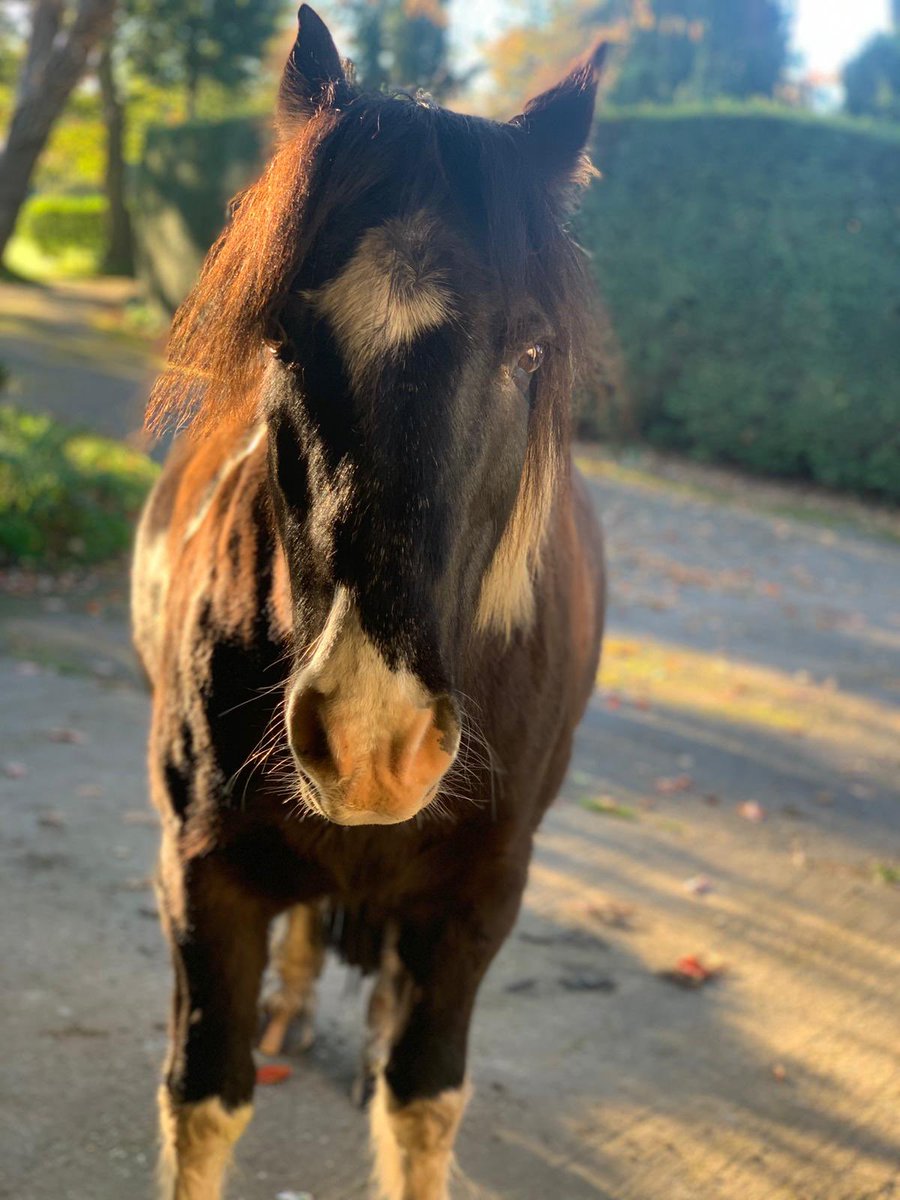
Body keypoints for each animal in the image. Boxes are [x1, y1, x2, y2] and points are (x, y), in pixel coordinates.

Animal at [132, 7, 606, 1197]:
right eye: (284, 341)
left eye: (530, 348)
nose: (370, 739)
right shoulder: (202, 876)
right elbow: (203, 1100)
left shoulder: (478, 898)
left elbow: (421, 1103)